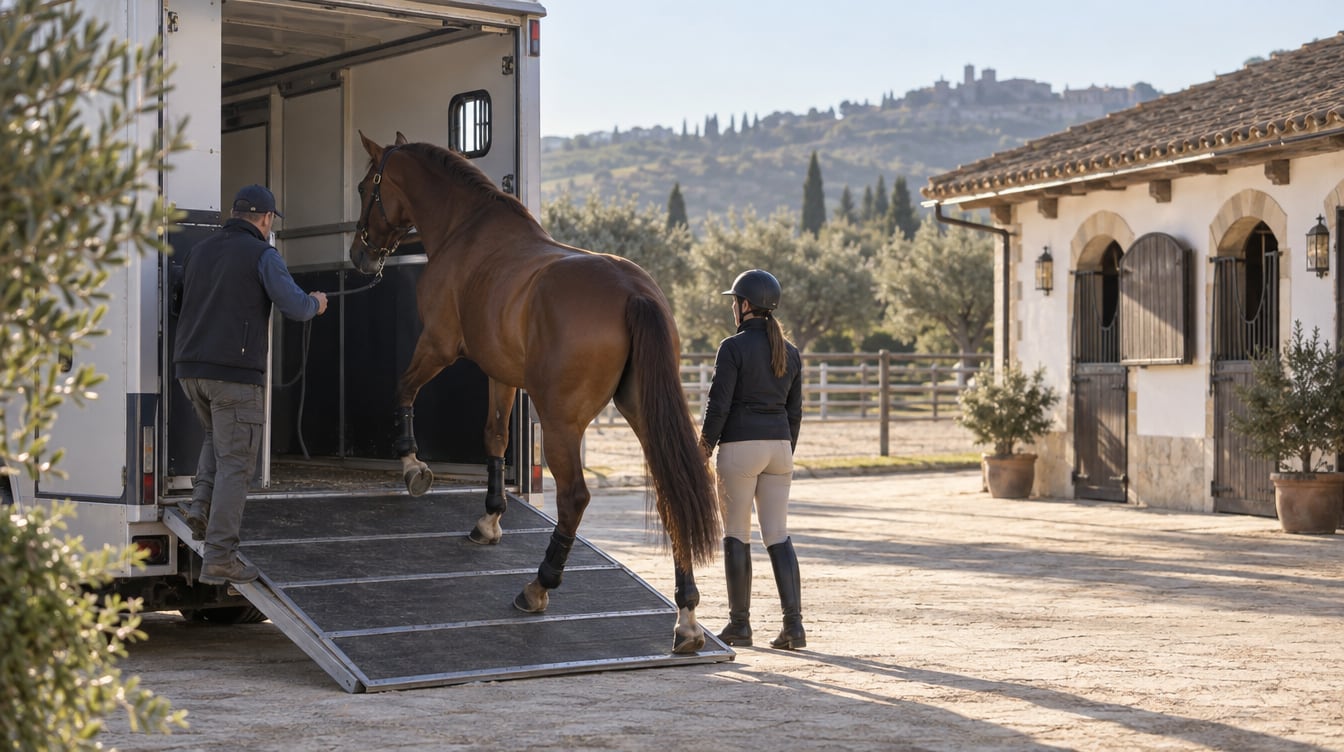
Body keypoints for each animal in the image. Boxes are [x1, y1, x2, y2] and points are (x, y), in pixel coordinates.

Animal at [347, 131, 720, 654]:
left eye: (367, 186)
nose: (359, 256)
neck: (466, 231)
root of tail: (634, 292)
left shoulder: (438, 344)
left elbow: (403, 390)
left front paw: (413, 467)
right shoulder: (502, 374)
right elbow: (495, 437)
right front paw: (489, 520)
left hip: (562, 421)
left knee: (574, 498)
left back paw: (538, 586)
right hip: (644, 417)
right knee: (674, 492)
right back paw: (686, 617)